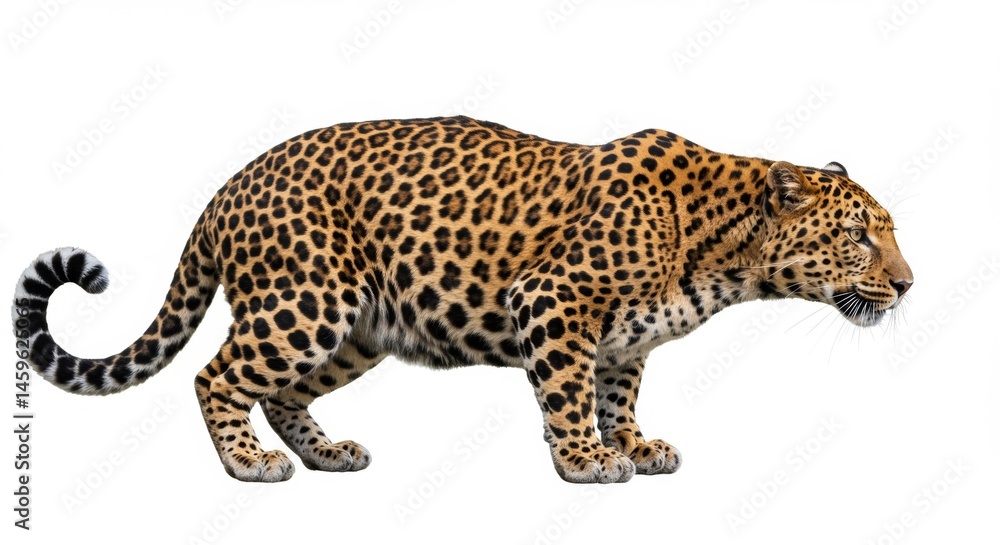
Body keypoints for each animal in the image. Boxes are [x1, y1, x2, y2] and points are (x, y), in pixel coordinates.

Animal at [13, 116, 913, 483]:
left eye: (888, 233)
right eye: (860, 236)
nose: (908, 284)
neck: (727, 250)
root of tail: (227, 187)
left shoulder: (623, 339)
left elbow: (616, 393)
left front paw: (634, 443)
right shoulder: (554, 300)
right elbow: (567, 395)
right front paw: (585, 460)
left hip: (358, 329)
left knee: (282, 392)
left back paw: (327, 452)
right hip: (307, 301)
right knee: (218, 376)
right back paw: (248, 462)